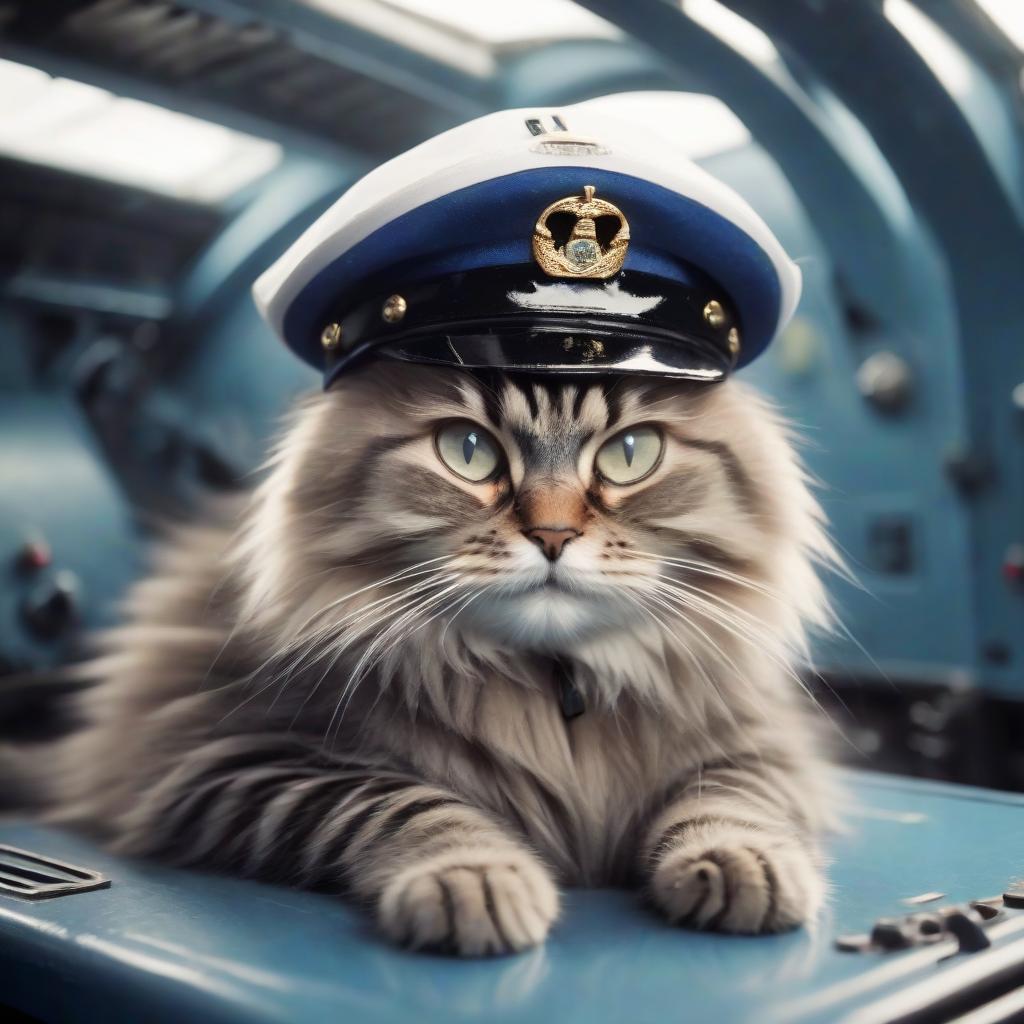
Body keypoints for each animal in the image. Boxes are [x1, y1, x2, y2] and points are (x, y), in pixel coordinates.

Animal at [12, 364, 835, 954]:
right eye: (468, 451)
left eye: (631, 454)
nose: (554, 535)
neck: (550, 683)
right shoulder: (226, 759)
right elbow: (404, 801)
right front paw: (476, 879)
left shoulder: (761, 743)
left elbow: (731, 799)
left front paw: (743, 866)